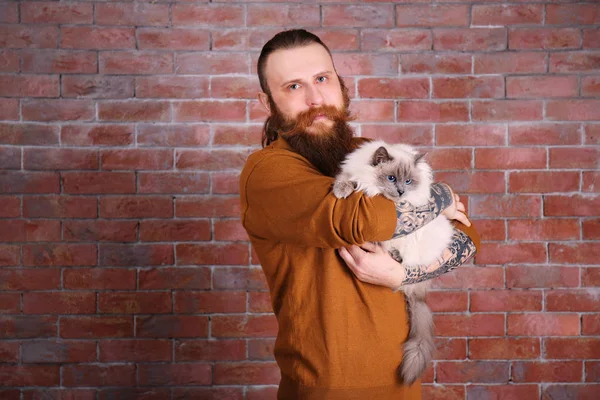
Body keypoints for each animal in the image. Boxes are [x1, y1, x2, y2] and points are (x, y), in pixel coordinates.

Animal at [330, 140, 452, 384]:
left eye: (408, 181)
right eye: (392, 178)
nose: (401, 191)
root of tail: (419, 293)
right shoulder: (353, 175)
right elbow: (347, 180)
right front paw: (341, 191)